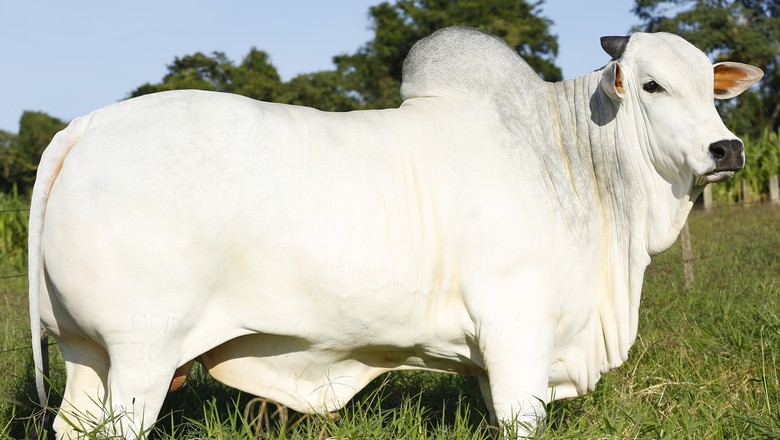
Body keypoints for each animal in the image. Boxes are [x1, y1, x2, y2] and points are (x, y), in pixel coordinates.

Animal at [30, 26, 760, 436]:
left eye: (713, 88)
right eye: (652, 85)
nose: (727, 149)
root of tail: (84, 126)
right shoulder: (518, 330)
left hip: (87, 353)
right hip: (141, 355)